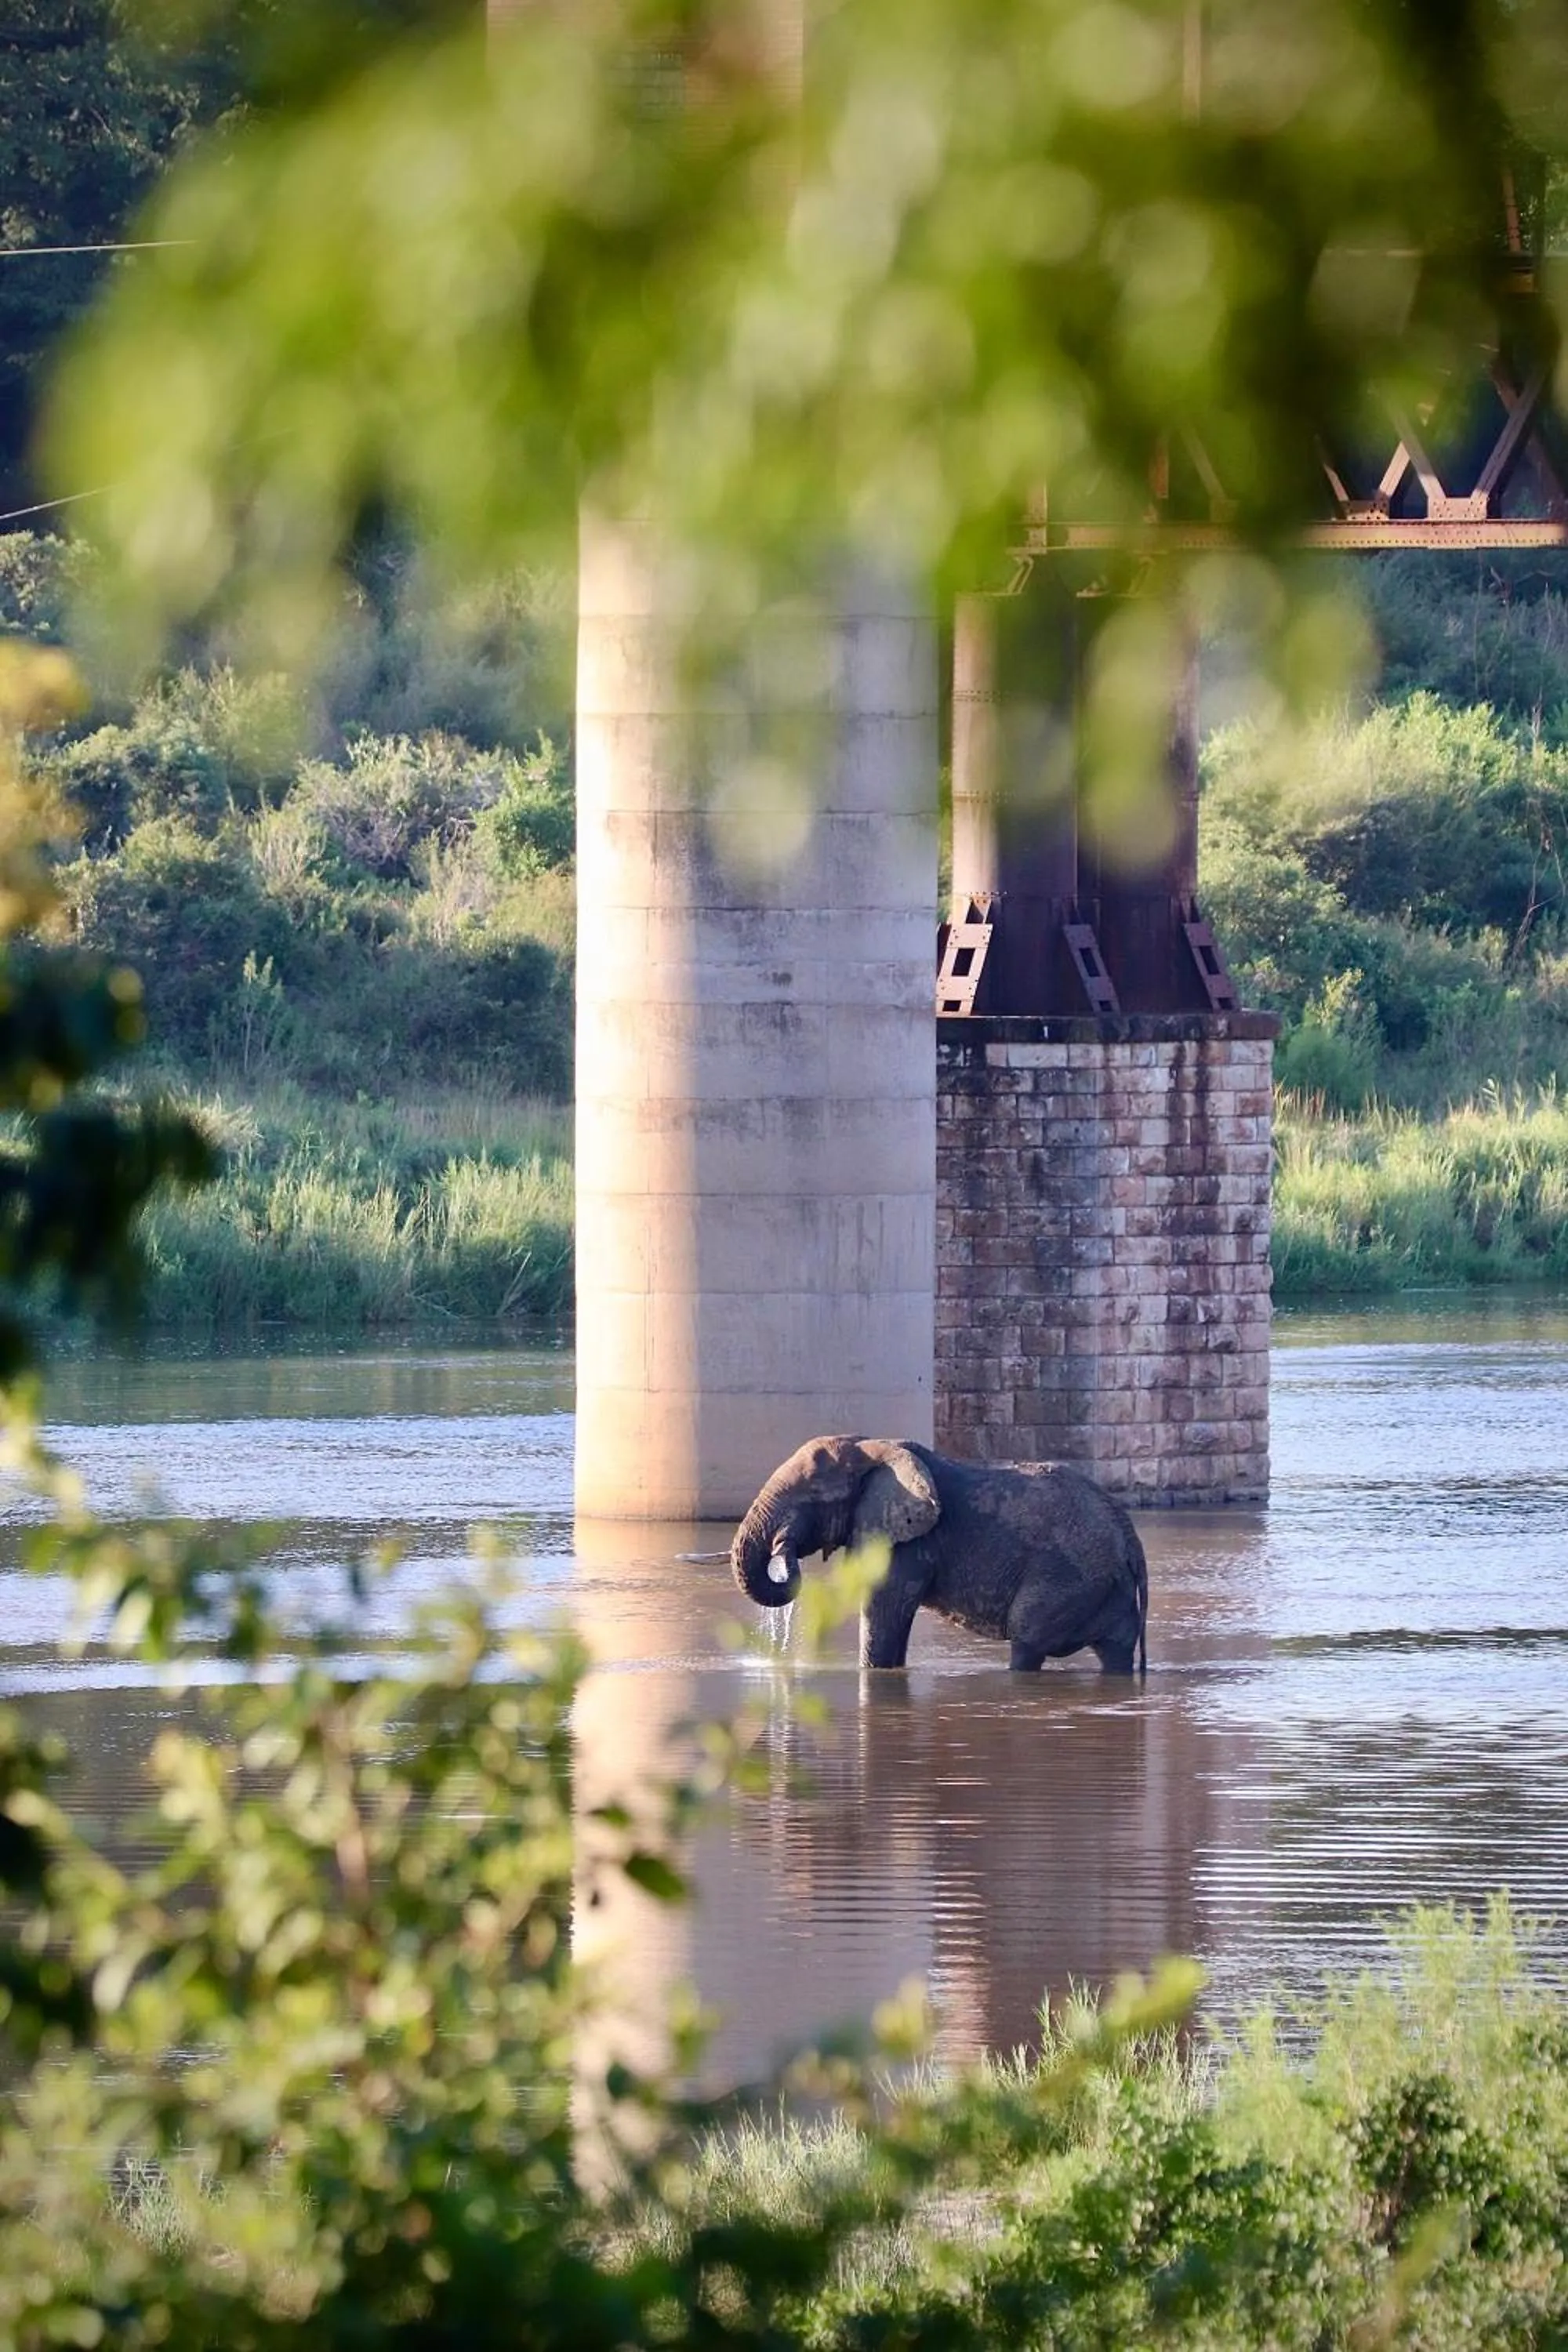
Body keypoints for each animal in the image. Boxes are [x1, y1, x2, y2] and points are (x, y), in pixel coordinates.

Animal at [730, 1435, 1148, 1674]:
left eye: (812, 1495)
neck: (873, 1446)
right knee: (1116, 1652)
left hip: (1068, 1582)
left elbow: (884, 1609)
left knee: (1026, 1640)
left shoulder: (907, 1544)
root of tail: (1130, 1538)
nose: (784, 1548)